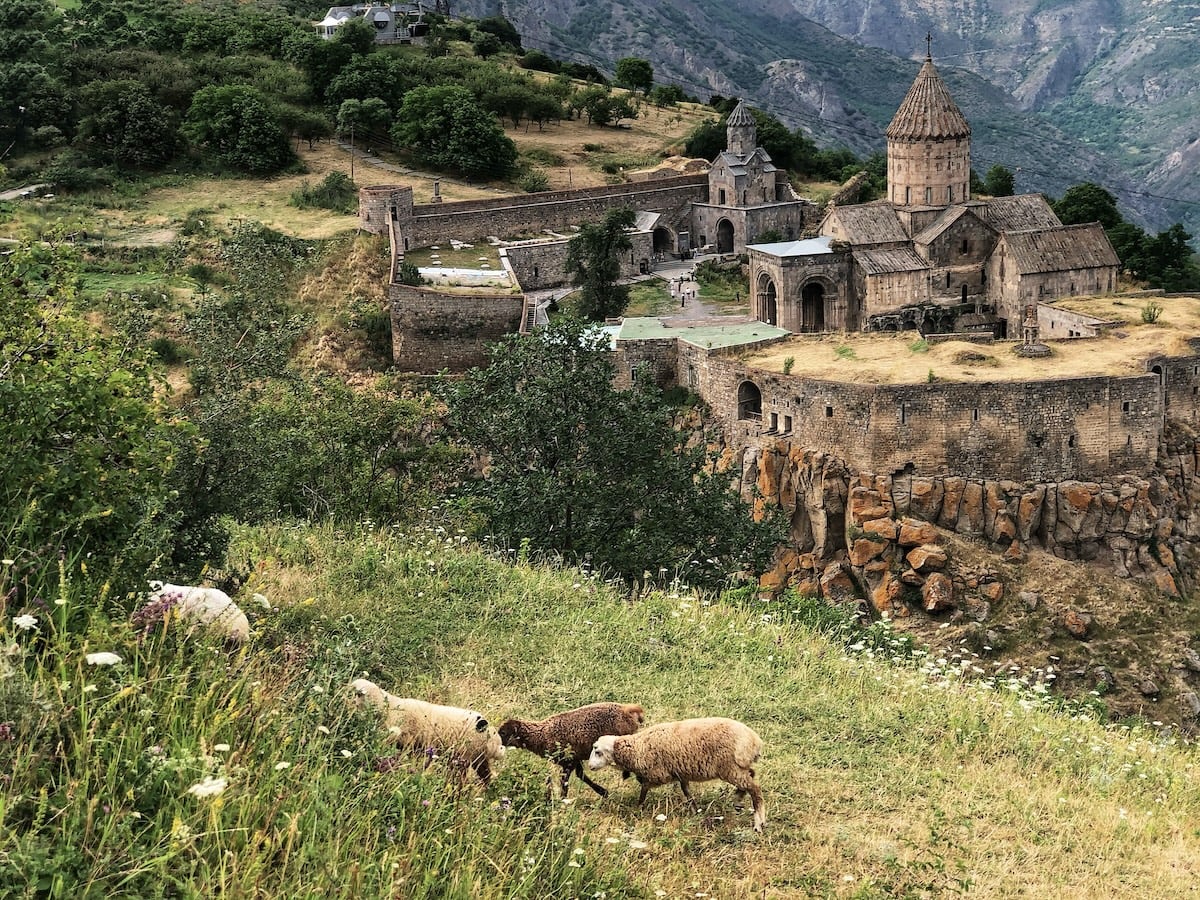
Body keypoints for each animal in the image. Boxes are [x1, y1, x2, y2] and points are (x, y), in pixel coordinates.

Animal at [496, 700, 648, 801]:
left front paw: (562, 800)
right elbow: (581, 775)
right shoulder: (575, 759)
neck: (542, 735)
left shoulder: (568, 761)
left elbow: (566, 782)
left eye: (503, 733)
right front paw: (603, 792)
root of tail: (629, 710)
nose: (495, 744)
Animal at [585, 715, 763, 835]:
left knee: (755, 789)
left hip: (728, 767)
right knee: (751, 776)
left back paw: (759, 823)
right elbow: (687, 793)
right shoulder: (680, 773)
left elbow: (643, 789)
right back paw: (738, 800)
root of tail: (754, 741)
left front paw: (638, 809)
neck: (637, 748)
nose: (590, 766)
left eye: (598, 751)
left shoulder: (657, 774)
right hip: (737, 766)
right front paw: (695, 811)